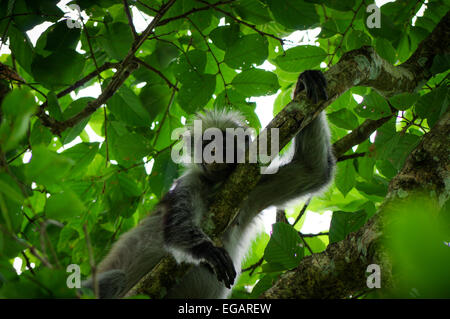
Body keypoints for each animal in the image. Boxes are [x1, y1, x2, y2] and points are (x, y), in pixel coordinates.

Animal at [81, 70, 334, 300]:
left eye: (225, 142)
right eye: (208, 143)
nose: (215, 152)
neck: (218, 184)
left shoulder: (253, 186)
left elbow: (313, 169)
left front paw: (303, 85)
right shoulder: (191, 181)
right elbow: (177, 231)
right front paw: (206, 250)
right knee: (115, 278)